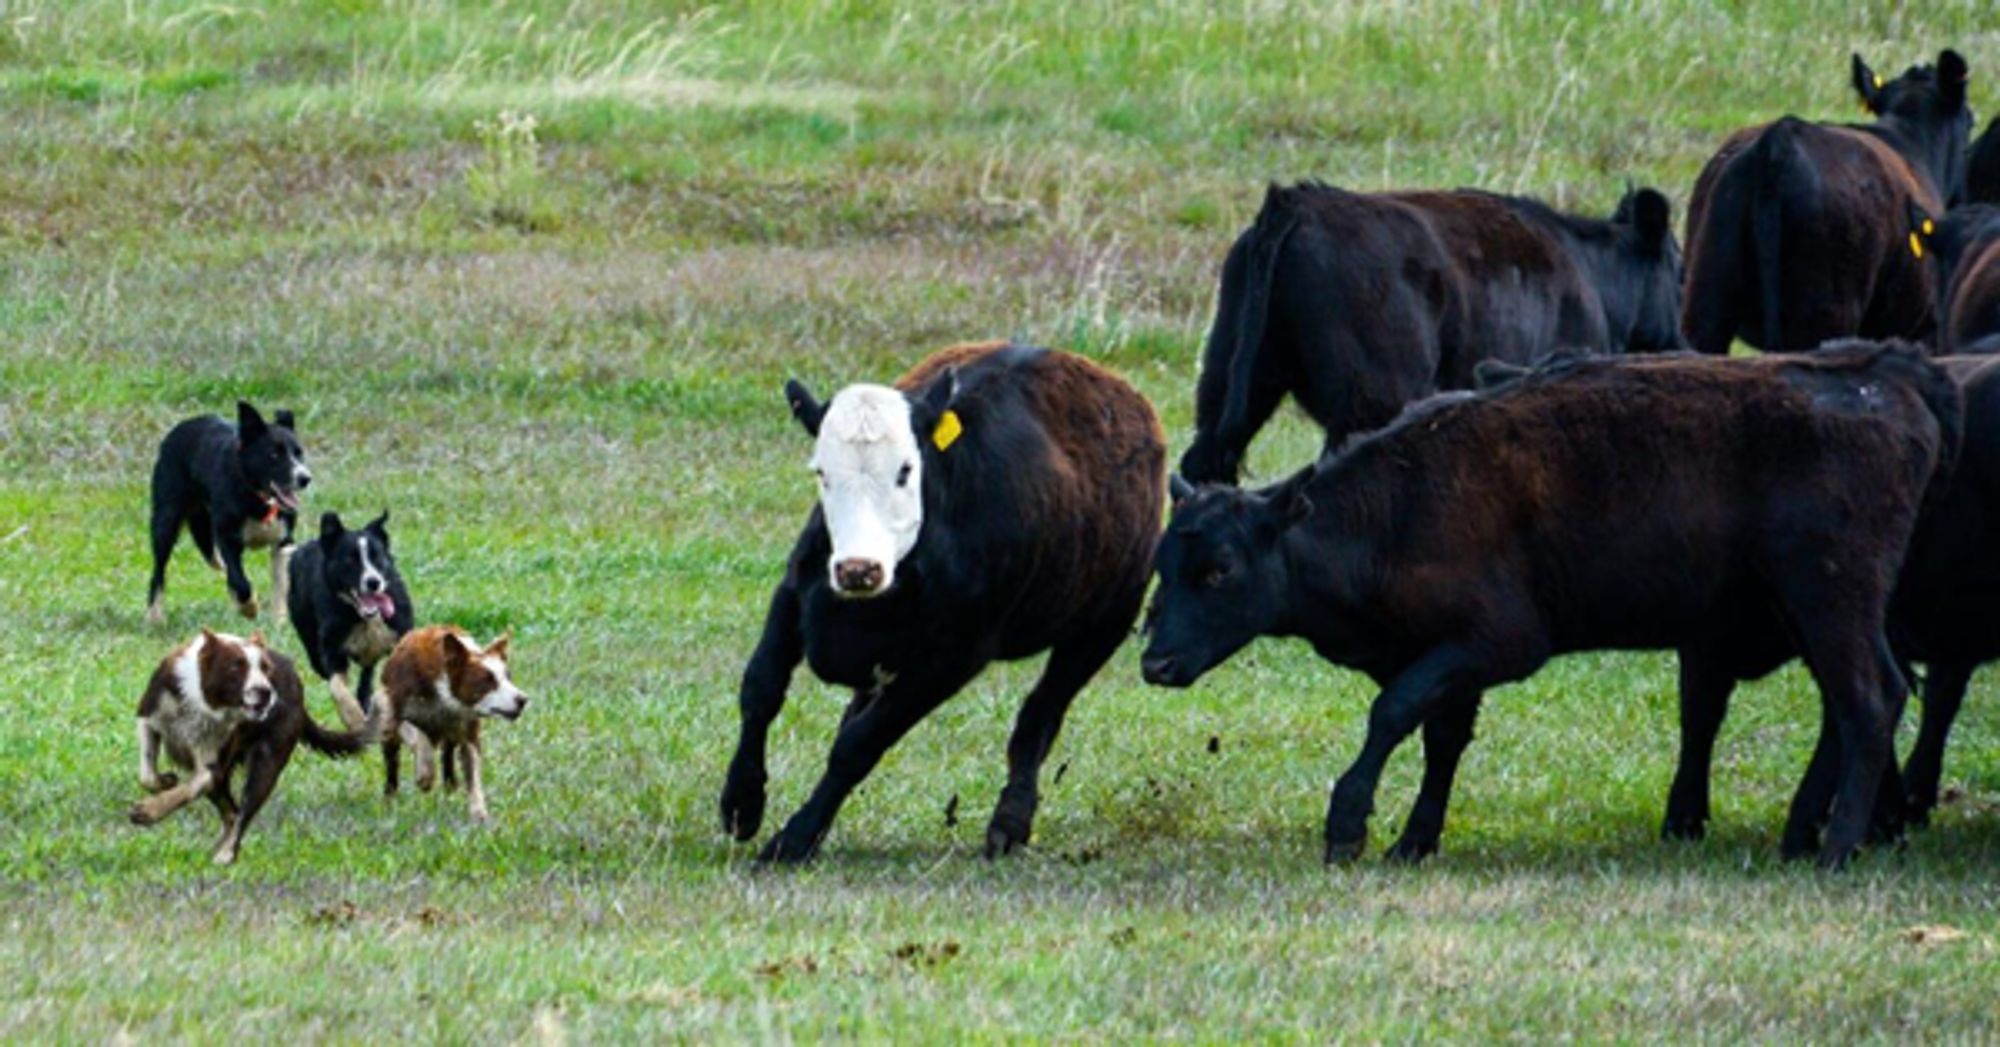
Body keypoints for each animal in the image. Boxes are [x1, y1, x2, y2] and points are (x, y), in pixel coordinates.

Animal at [720, 339, 1168, 863]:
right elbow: (761, 689)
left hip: (1103, 626)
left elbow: (859, 743)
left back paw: (1010, 822)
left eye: (905, 470)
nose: (857, 569)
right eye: (822, 473)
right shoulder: (794, 595)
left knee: (1040, 715)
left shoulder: (953, 657)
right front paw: (741, 802)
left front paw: (793, 838)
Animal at [1144, 343, 1952, 867]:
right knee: (1852, 704)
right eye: (1163, 563)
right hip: (1814, 611)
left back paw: (1836, 848)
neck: (1401, 506)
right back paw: (1808, 835)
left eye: (1219, 570)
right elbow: (1440, 739)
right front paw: (1414, 840)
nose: (1156, 662)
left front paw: (1348, 825)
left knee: (1869, 698)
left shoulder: (1495, 644)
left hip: (1832, 599)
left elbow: (1393, 714)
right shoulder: (1450, 661)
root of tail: (1885, 378)